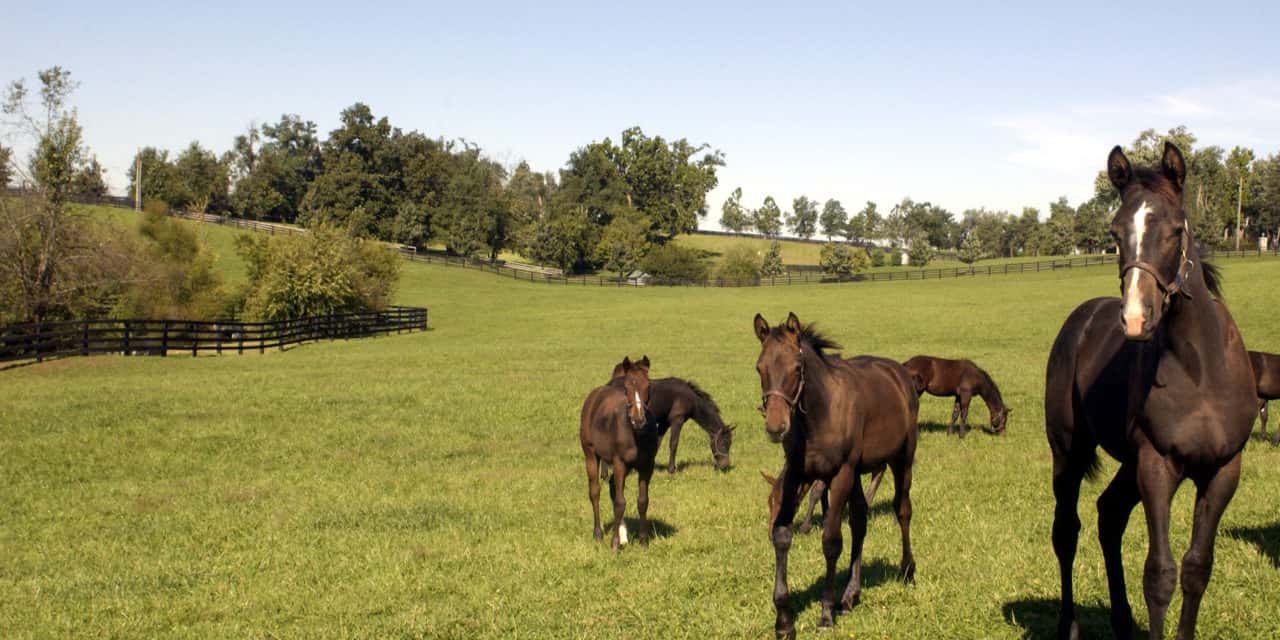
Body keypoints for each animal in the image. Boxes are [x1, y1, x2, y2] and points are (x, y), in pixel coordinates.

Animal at [580, 356, 656, 551]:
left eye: (648, 386)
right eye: (626, 388)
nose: (638, 420)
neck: (636, 435)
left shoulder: (647, 466)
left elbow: (642, 501)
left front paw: (643, 541)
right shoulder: (620, 463)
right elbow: (621, 503)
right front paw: (614, 545)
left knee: (613, 488)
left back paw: (623, 536)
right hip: (590, 455)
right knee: (595, 492)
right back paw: (599, 534)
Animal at [754, 312, 918, 638]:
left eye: (797, 368)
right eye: (759, 368)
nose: (776, 427)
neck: (820, 415)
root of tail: (900, 373)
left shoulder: (840, 474)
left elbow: (831, 541)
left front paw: (825, 613)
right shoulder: (798, 474)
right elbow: (782, 535)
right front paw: (784, 620)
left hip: (901, 458)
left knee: (902, 509)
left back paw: (907, 570)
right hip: (857, 474)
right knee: (860, 520)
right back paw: (850, 595)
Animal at [1045, 142, 1256, 640]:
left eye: (1175, 229)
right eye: (1115, 231)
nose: (1137, 318)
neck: (1200, 372)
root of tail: (1081, 320)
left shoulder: (1222, 471)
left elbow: (1197, 567)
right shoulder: (1158, 468)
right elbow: (1160, 574)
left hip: (1128, 464)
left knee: (1109, 515)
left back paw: (1122, 622)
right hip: (1070, 451)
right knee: (1067, 530)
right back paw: (1068, 625)